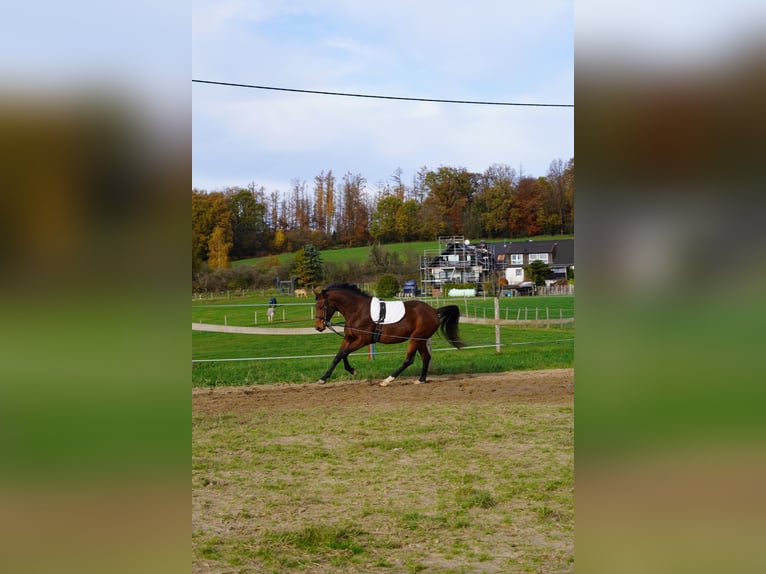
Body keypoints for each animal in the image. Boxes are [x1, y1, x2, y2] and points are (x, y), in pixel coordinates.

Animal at [314, 283, 465, 386]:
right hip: (421, 339)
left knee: (408, 360)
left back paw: (387, 380)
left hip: (415, 338)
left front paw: (352, 371)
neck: (357, 311)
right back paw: (421, 380)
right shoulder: (349, 338)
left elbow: (344, 353)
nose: (318, 327)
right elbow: (339, 356)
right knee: (426, 357)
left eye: (321, 306)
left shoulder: (363, 340)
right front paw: (324, 378)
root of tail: (434, 311)